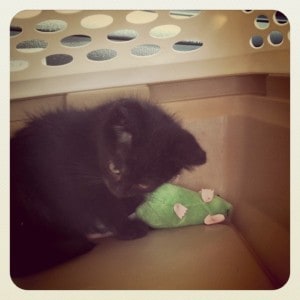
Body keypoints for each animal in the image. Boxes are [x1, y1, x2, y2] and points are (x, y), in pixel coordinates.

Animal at [9, 98, 206, 276]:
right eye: (114, 169)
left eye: (144, 183)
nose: (120, 191)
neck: (90, 145)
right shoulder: (83, 184)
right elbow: (106, 205)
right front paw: (129, 228)